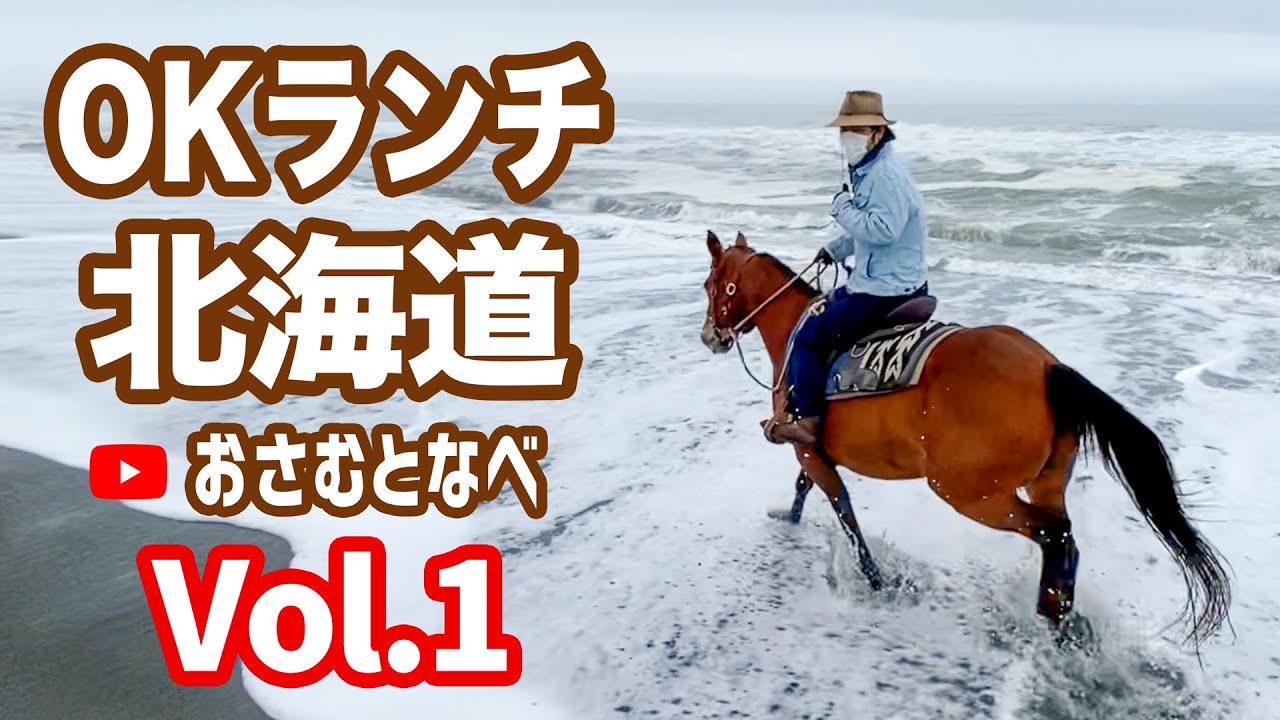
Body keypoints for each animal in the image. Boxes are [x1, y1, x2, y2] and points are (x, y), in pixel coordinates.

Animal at [698, 230, 1230, 645]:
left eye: (710, 284)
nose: (709, 337)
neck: (795, 329)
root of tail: (1047, 368)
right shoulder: (813, 452)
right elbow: (806, 488)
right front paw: (789, 519)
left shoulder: (806, 445)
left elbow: (842, 510)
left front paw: (872, 577)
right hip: (1044, 482)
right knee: (1065, 543)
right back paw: (1056, 615)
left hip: (970, 493)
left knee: (1055, 535)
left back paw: (1051, 618)